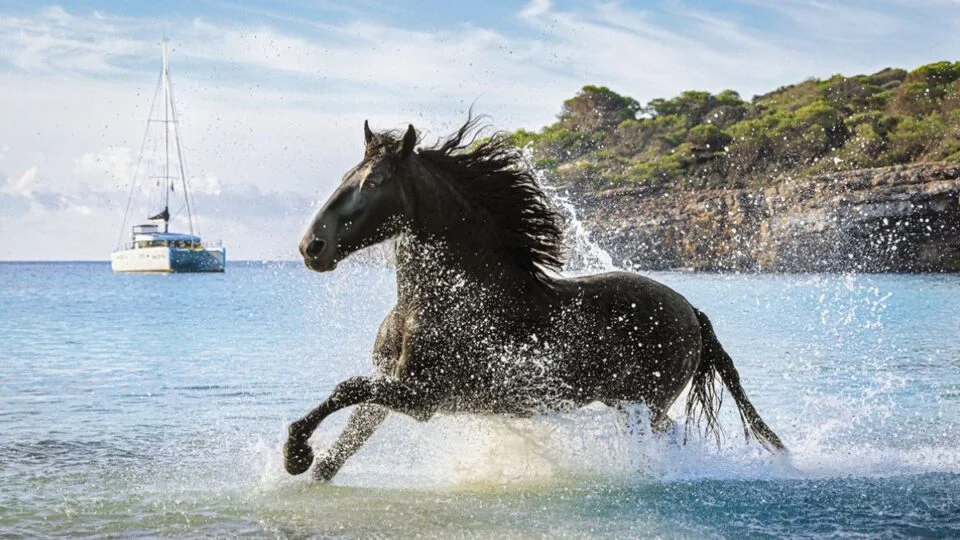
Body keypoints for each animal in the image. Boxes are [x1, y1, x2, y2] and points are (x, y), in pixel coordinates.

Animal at [284, 117, 785, 481]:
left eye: (372, 183)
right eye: (347, 176)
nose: (312, 247)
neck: (444, 301)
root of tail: (692, 311)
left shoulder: (425, 395)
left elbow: (345, 388)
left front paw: (295, 452)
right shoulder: (393, 382)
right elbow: (346, 439)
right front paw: (306, 465)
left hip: (644, 405)